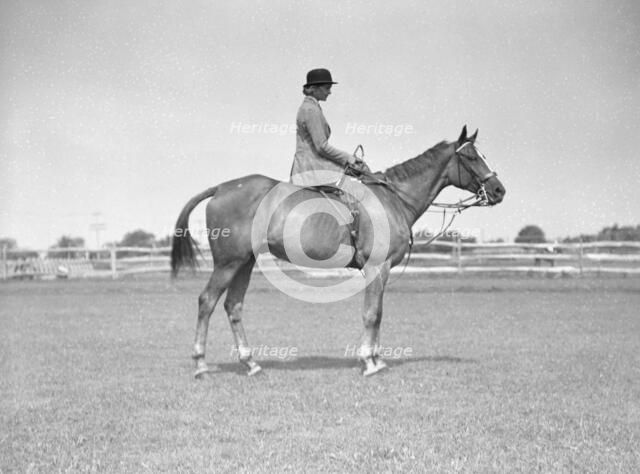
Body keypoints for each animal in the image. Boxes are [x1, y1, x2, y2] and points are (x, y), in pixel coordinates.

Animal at [171, 126, 505, 377]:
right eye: (471, 157)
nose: (499, 190)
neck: (393, 197)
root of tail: (222, 188)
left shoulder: (381, 271)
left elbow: (379, 313)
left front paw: (377, 358)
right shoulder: (377, 267)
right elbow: (372, 313)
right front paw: (369, 362)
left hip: (245, 263)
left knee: (233, 306)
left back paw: (251, 363)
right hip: (228, 263)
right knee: (207, 302)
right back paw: (201, 364)